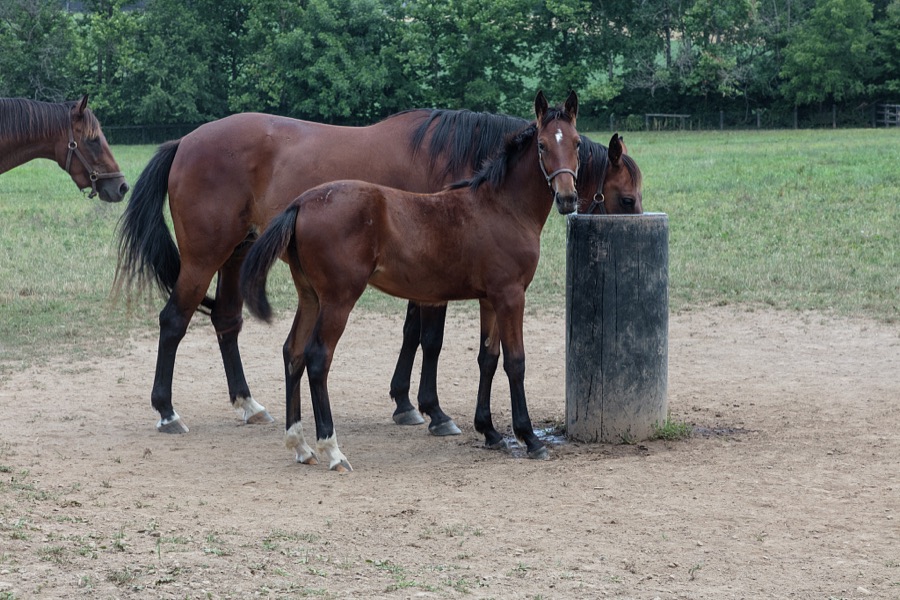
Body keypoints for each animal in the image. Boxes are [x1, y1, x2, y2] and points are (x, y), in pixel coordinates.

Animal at [115, 98, 641, 436]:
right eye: (626, 198)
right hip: (204, 257)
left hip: (238, 254)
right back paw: (167, 411)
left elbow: (413, 335)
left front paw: (407, 403)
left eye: (576, 145)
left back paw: (249, 404)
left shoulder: (426, 272)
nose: (569, 202)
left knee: (226, 320)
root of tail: (186, 141)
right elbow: (431, 339)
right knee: (174, 320)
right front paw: (434, 411)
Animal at [239, 91, 581, 471]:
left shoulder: (489, 299)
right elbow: (515, 362)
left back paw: (299, 445)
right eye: (542, 145)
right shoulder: (511, 295)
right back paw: (332, 449)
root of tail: (301, 202)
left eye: (577, 143)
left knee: (293, 353)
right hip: (338, 299)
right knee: (317, 358)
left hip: (310, 297)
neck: (502, 206)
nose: (568, 198)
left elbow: (488, 359)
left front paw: (490, 432)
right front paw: (530, 438)